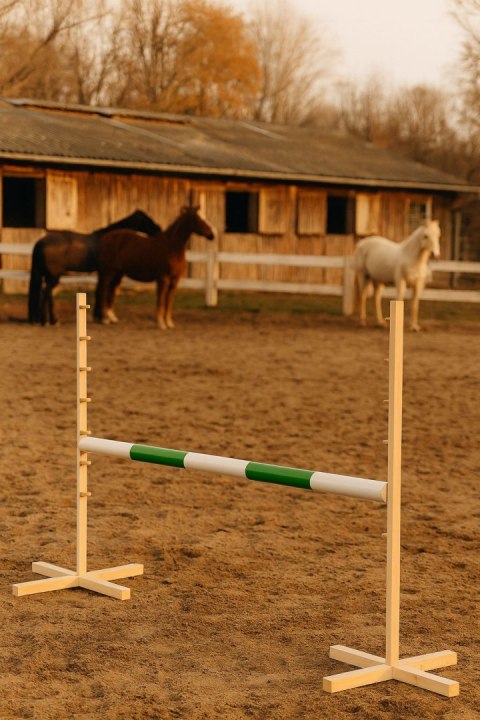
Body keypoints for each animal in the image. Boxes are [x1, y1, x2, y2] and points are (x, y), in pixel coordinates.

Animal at [28, 210, 162, 326]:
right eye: (146, 220)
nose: (159, 229)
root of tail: (41, 242)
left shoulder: (103, 272)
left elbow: (101, 291)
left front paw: (99, 316)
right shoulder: (109, 272)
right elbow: (105, 291)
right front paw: (104, 317)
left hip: (50, 275)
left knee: (48, 294)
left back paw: (52, 320)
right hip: (53, 276)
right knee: (45, 293)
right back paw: (46, 321)